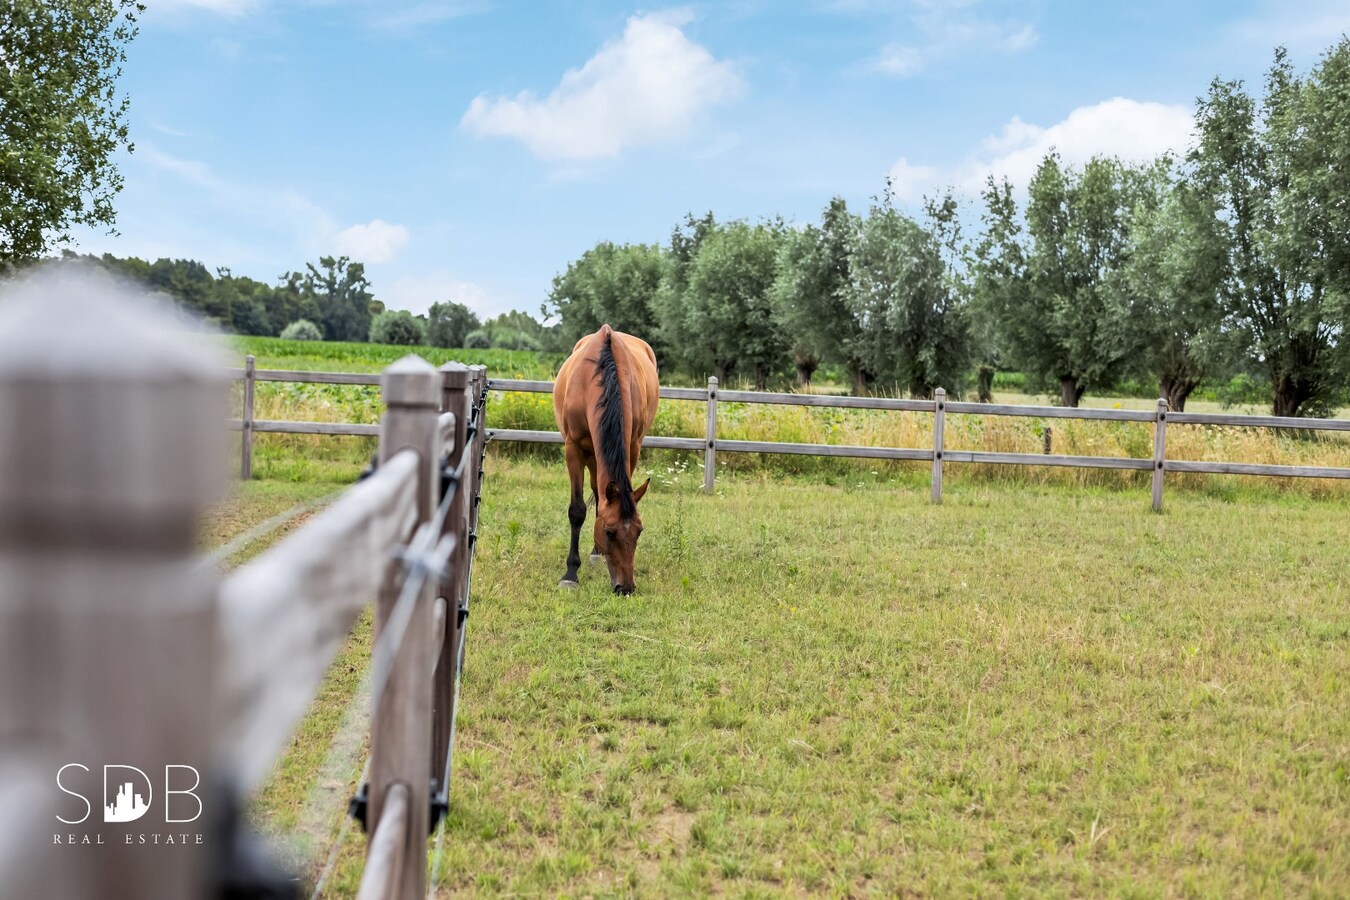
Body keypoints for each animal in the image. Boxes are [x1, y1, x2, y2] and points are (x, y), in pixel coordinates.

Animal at [552, 324, 659, 594]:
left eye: (639, 531)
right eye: (610, 532)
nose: (626, 587)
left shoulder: (632, 446)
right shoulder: (573, 448)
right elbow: (577, 510)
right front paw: (570, 573)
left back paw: (595, 552)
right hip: (590, 453)